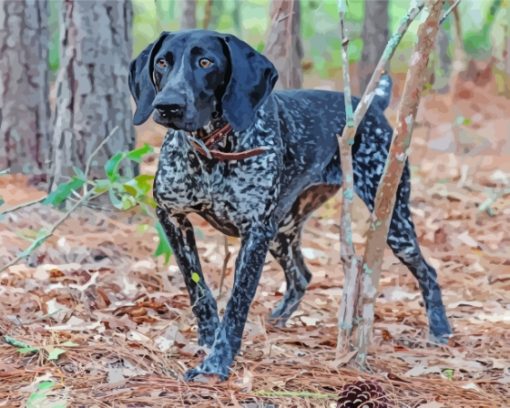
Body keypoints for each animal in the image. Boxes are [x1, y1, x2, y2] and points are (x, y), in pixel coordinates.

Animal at [127, 30, 450, 380]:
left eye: (205, 62)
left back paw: (440, 329)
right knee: (302, 276)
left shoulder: (255, 233)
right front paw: (207, 338)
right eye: (162, 62)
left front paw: (217, 362)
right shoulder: (172, 216)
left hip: (392, 220)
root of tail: (372, 105)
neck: (212, 150)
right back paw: (277, 319)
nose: (167, 106)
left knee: (428, 272)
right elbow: (197, 287)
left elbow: (237, 304)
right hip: (282, 231)